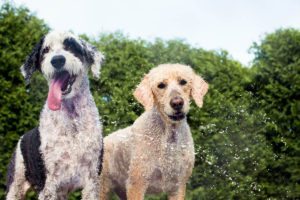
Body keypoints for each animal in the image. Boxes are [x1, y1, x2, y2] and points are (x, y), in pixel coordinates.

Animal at [6, 31, 104, 200]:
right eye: (46, 50)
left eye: (71, 46)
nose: (57, 60)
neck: (71, 122)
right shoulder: (48, 183)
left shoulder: (92, 178)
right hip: (15, 185)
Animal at [99, 64, 207, 200]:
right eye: (161, 85)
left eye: (183, 82)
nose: (177, 103)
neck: (168, 139)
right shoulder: (137, 183)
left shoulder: (178, 186)